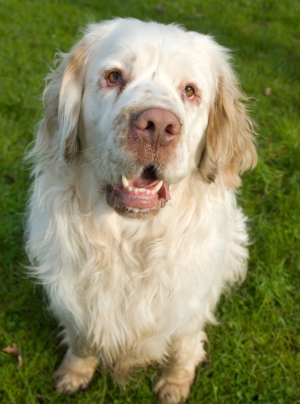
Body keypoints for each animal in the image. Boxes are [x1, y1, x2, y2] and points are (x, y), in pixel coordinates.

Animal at [25, 19, 256, 404]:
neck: (130, 241)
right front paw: (74, 373)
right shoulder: (74, 300)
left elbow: (183, 348)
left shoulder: (190, 306)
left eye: (190, 90)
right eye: (114, 76)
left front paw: (175, 383)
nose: (158, 126)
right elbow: (82, 342)